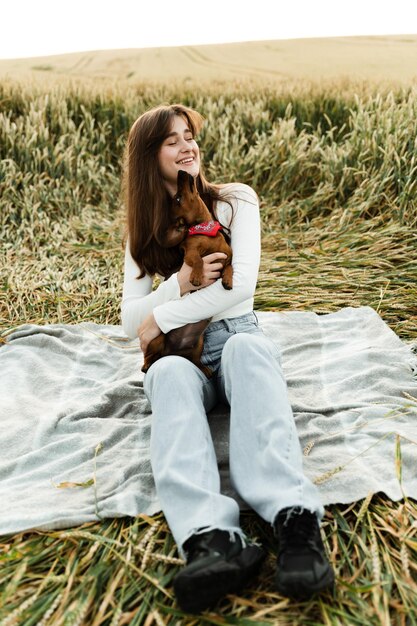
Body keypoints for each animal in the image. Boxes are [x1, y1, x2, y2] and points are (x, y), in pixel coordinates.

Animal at [141, 169, 232, 376]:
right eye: (177, 198)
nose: (182, 172)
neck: (205, 230)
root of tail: (170, 352)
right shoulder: (190, 253)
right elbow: (198, 260)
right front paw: (196, 277)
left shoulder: (227, 257)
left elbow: (230, 266)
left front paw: (228, 280)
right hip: (157, 339)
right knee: (148, 358)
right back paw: (147, 366)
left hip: (198, 344)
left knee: (194, 361)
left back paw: (205, 369)